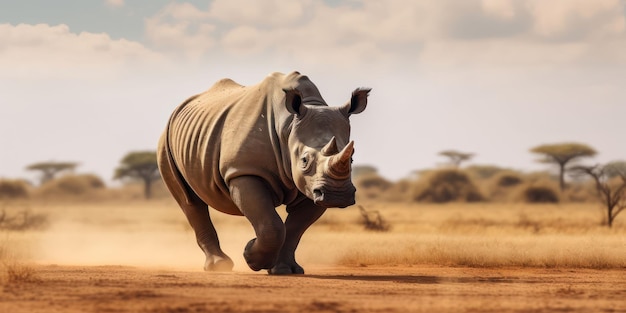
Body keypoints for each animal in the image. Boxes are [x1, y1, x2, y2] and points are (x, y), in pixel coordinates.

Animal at [158, 70, 368, 272]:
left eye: (351, 158)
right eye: (304, 160)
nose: (337, 195)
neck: (288, 126)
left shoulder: (312, 187)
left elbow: (294, 229)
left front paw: (284, 269)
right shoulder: (244, 171)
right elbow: (272, 227)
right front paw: (251, 256)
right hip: (165, 142)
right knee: (189, 200)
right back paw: (219, 266)